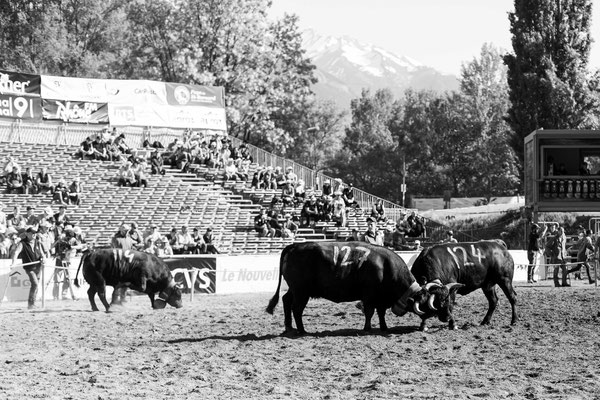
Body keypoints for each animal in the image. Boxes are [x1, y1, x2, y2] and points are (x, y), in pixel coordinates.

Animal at [266, 241, 450, 334]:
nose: (448, 317)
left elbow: (381, 313)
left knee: (286, 301)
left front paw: (384, 327)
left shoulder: (381, 299)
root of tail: (294, 246)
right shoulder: (369, 296)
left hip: (295, 290)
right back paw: (302, 330)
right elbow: (369, 312)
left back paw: (289, 327)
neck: (385, 267)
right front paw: (367, 328)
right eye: (435, 303)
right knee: (296, 309)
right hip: (301, 292)